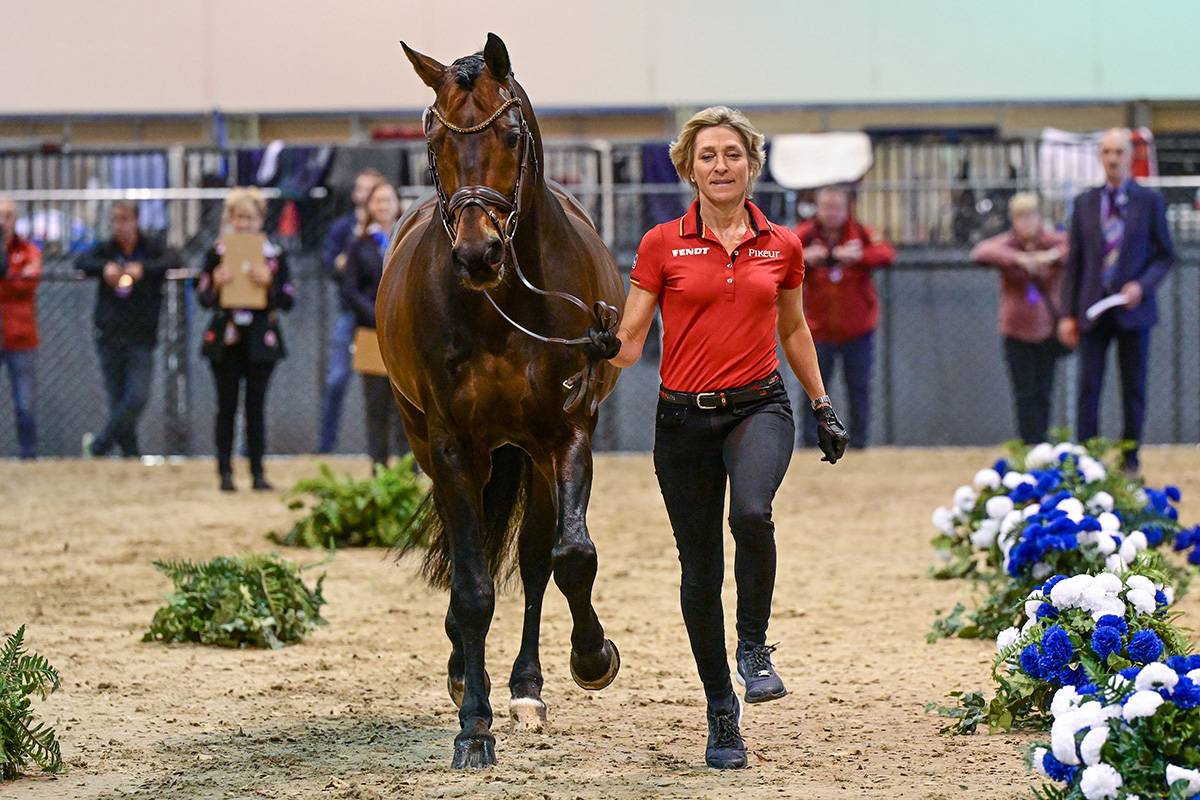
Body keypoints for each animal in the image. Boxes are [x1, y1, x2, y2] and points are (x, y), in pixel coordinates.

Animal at [381, 32, 628, 767]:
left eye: (512, 135)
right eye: (434, 139)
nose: (478, 253)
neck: (503, 309)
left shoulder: (568, 432)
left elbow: (570, 557)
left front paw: (593, 658)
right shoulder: (452, 448)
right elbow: (471, 587)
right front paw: (473, 725)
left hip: (532, 456)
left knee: (536, 557)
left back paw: (526, 688)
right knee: (478, 558)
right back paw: (474, 676)